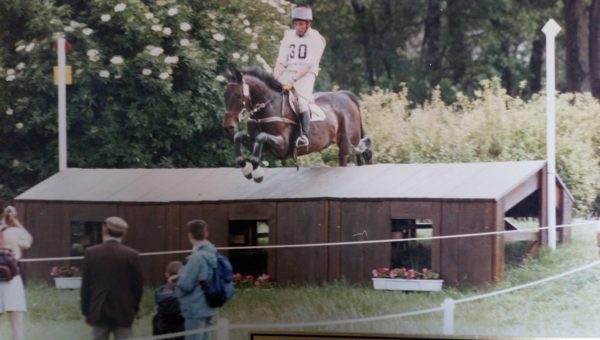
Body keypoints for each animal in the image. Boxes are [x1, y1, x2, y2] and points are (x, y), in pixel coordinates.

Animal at [221, 67, 370, 183]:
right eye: (225, 95)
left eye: (239, 96)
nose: (228, 126)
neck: (267, 107)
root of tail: (345, 94)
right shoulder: (264, 145)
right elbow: (239, 136)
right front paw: (245, 168)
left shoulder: (282, 146)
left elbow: (261, 136)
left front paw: (257, 174)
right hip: (344, 146)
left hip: (348, 143)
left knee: (362, 147)